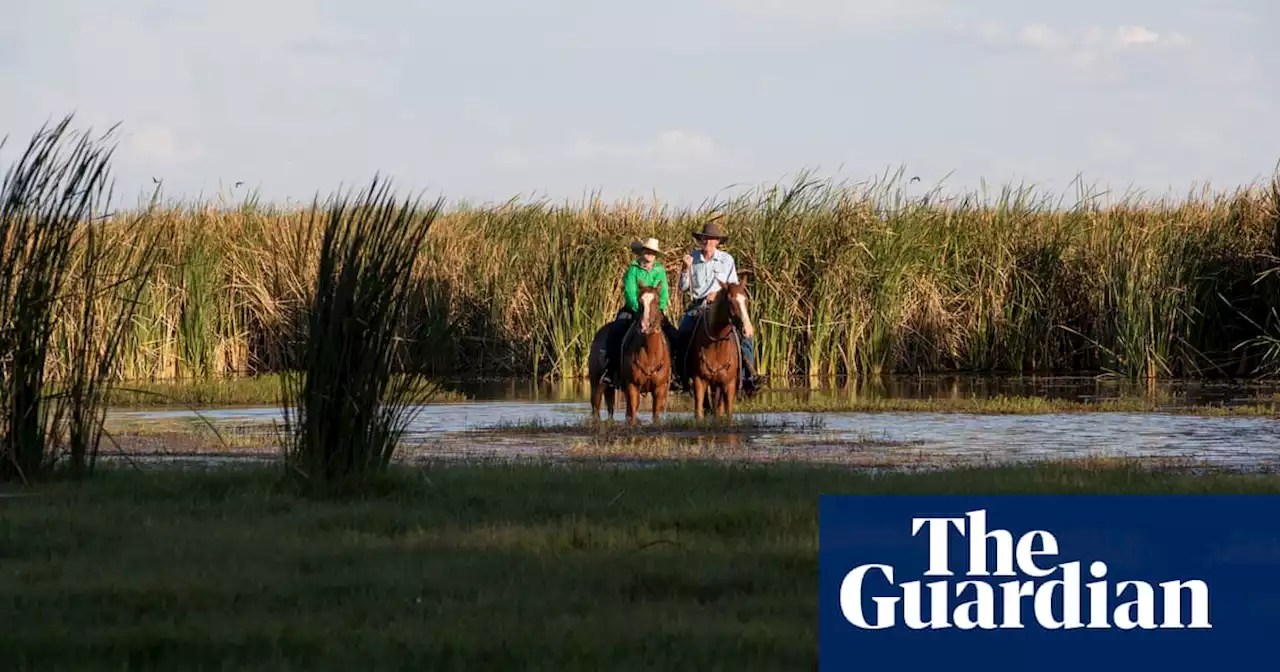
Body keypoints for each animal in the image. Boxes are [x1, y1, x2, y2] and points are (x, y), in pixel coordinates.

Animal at [586, 282, 675, 424]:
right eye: (639, 301)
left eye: (656, 301)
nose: (645, 325)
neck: (649, 353)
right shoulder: (632, 386)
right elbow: (632, 412)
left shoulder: (660, 388)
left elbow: (654, 414)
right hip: (597, 384)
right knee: (596, 408)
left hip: (609, 388)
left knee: (610, 408)